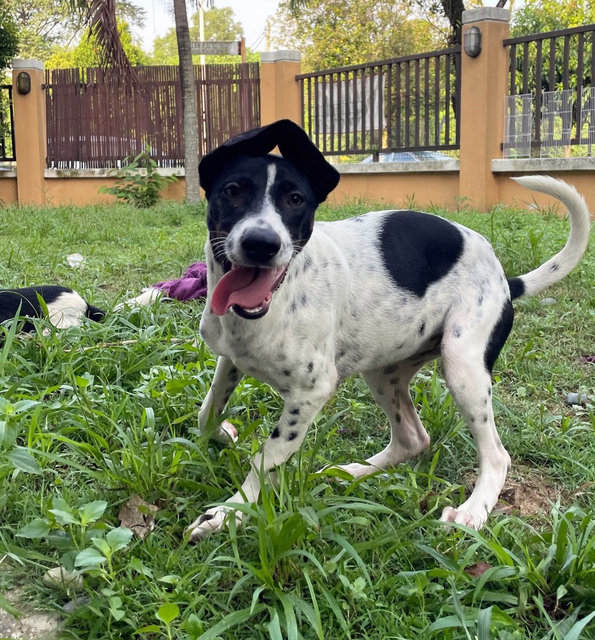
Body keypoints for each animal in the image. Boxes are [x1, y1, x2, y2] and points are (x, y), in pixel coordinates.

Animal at [187, 120, 592, 540]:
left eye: (295, 199)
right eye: (232, 191)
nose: (261, 243)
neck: (276, 299)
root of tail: (504, 279)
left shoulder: (310, 392)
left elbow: (266, 457)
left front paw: (228, 512)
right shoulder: (231, 361)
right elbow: (206, 414)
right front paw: (225, 435)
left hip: (463, 366)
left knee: (496, 455)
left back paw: (472, 511)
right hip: (383, 372)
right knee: (413, 439)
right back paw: (349, 472)